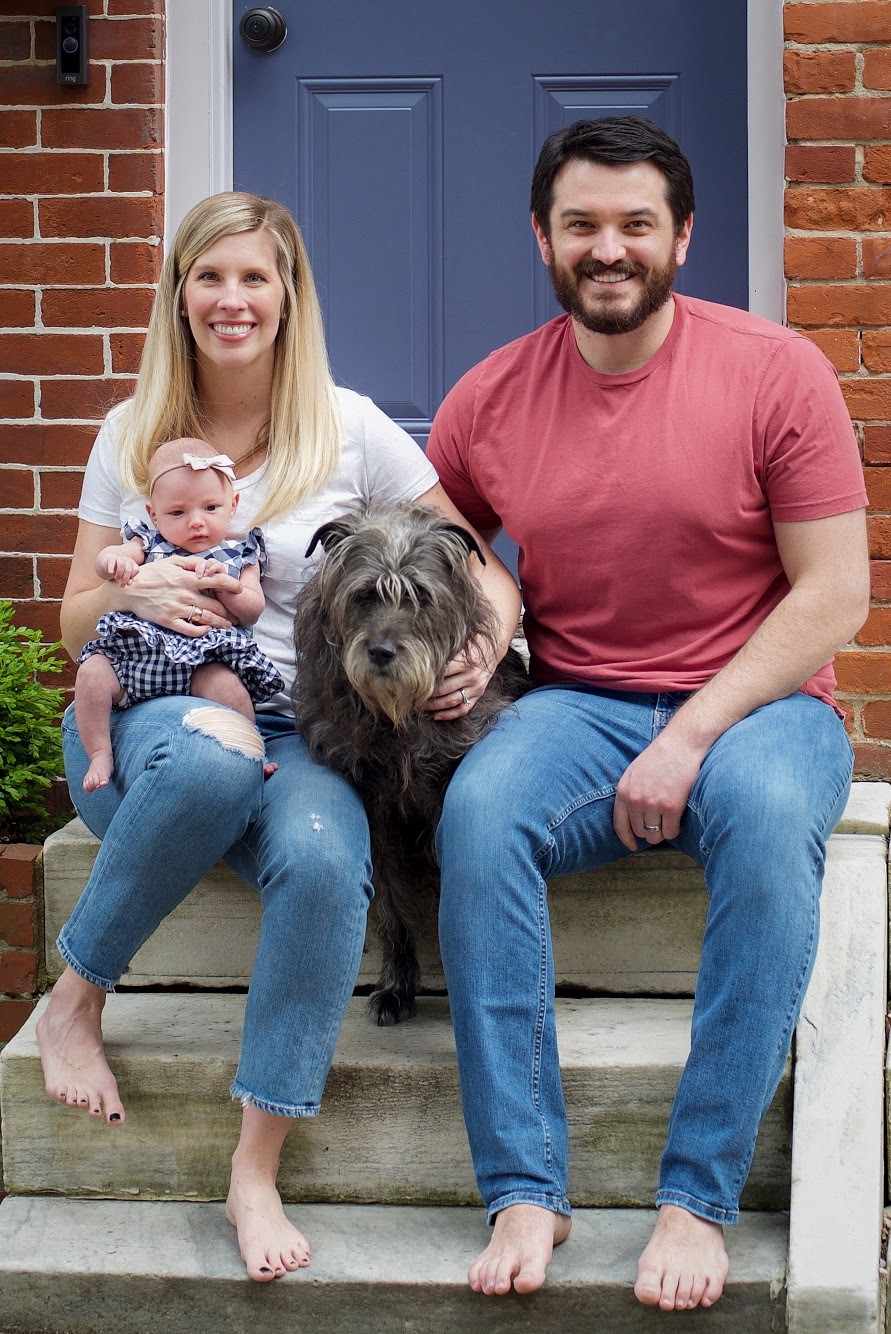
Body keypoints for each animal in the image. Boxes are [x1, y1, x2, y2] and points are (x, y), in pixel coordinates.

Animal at [292, 501, 528, 1019]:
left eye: (420, 594)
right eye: (364, 595)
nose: (382, 652)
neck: (396, 714)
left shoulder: (445, 790)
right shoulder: (374, 809)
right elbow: (390, 905)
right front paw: (398, 985)